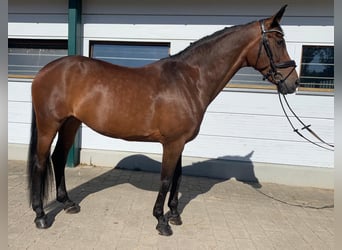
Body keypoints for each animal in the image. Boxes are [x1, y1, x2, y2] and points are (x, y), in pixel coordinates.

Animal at [28, 5, 298, 236]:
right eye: (278, 41)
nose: (293, 82)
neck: (189, 80)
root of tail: (44, 71)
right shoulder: (172, 143)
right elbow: (167, 179)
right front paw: (161, 221)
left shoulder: (179, 143)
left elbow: (178, 176)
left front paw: (175, 215)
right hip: (49, 125)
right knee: (41, 163)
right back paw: (40, 216)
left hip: (71, 123)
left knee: (58, 158)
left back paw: (68, 203)